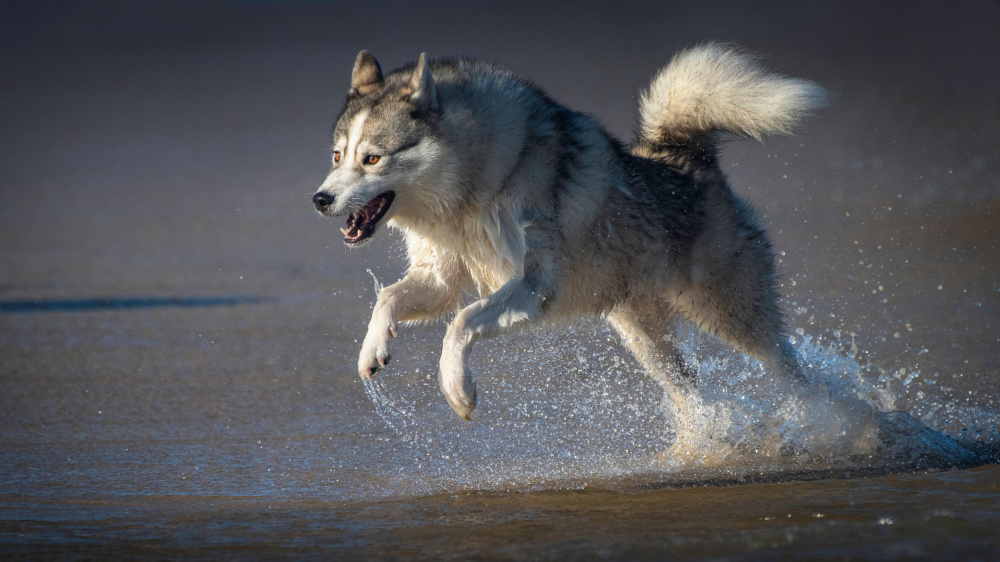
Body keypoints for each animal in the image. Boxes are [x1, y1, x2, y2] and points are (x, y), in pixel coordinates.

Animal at [313, 44, 832, 424]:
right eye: (338, 155)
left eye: (372, 158)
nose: (320, 200)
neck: (473, 188)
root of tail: (686, 157)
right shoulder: (440, 276)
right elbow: (390, 298)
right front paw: (373, 350)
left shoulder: (535, 284)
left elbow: (463, 320)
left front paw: (457, 389)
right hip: (642, 335)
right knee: (687, 385)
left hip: (728, 314)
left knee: (793, 369)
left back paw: (829, 423)